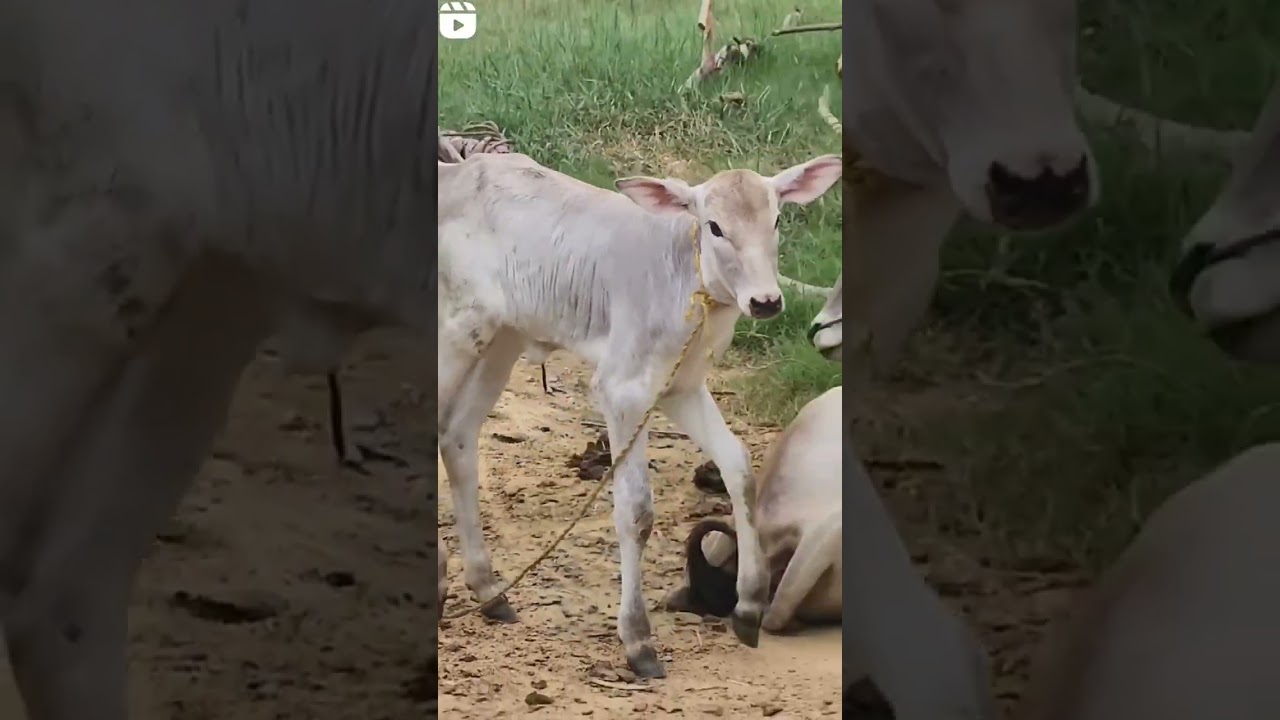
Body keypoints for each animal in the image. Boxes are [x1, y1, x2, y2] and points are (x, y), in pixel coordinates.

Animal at [435, 149, 842, 678]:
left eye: (775, 219)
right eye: (714, 226)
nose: (766, 301)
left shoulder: (682, 387)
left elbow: (739, 467)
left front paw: (749, 606)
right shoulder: (621, 390)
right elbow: (636, 511)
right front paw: (638, 638)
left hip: (502, 336)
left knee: (457, 437)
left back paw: (487, 588)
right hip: (458, 328)